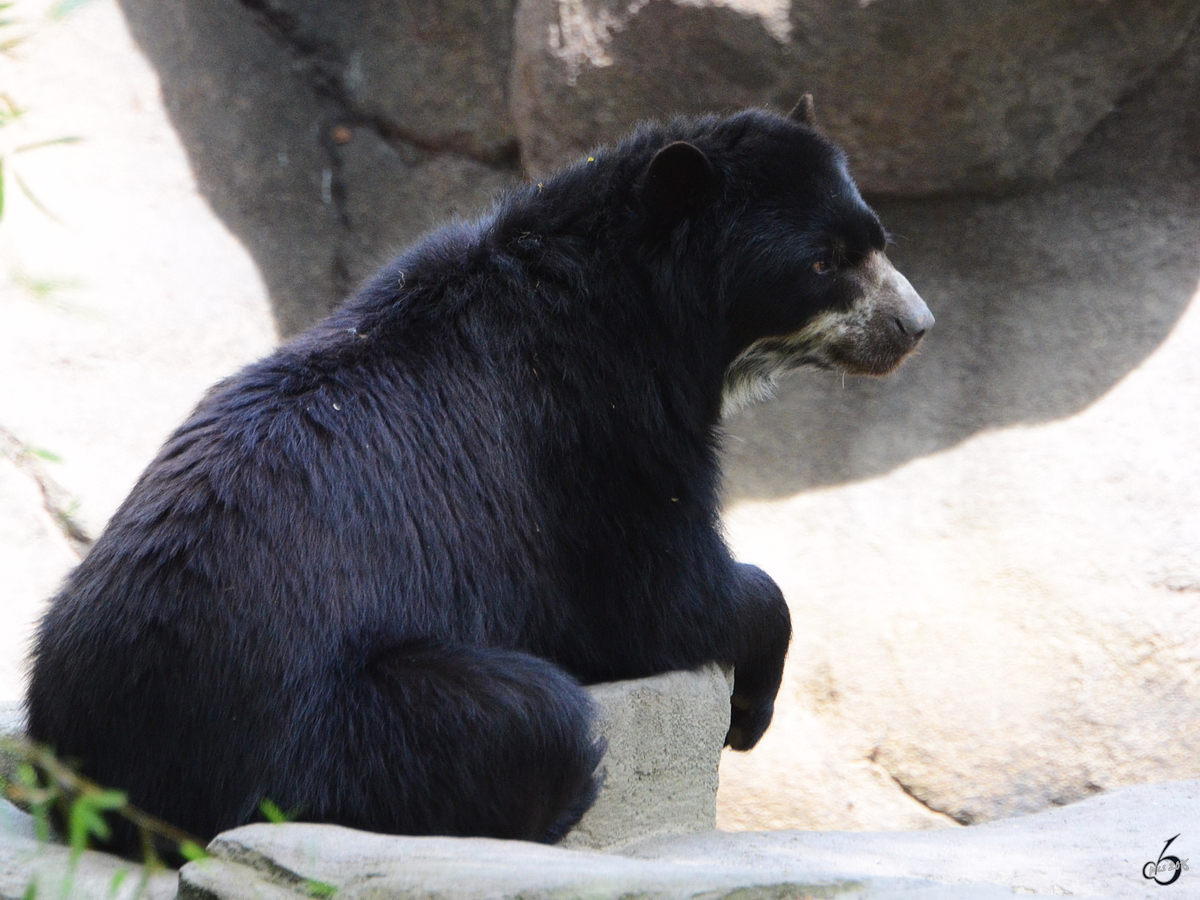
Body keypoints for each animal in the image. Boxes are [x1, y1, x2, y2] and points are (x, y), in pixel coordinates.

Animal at [23, 100, 931, 859]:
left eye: (877, 238)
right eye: (822, 262)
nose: (916, 325)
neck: (641, 297)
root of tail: (98, 767)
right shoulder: (599, 428)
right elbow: (659, 595)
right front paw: (748, 714)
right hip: (331, 731)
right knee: (536, 718)